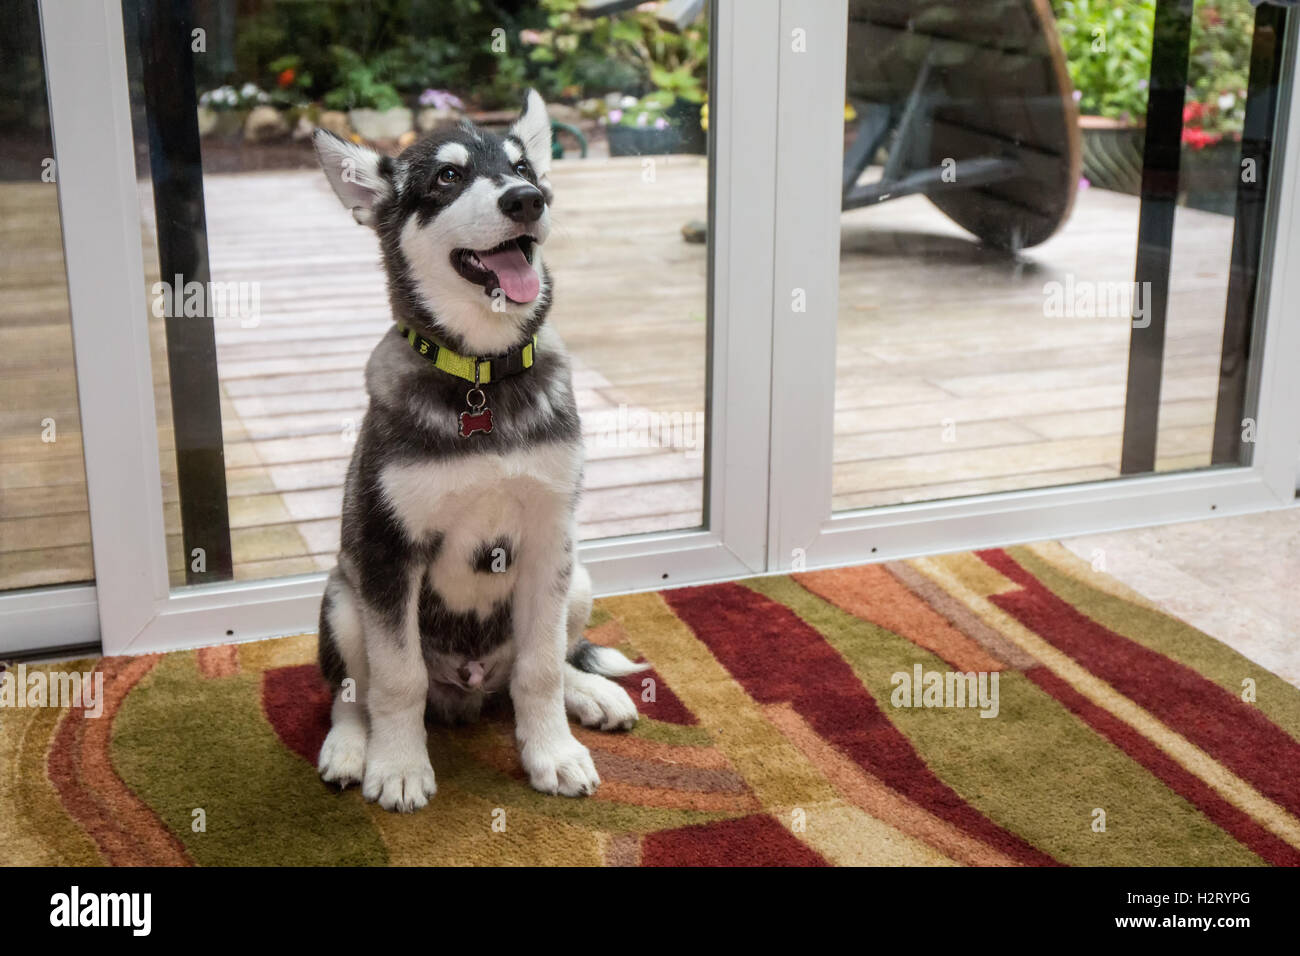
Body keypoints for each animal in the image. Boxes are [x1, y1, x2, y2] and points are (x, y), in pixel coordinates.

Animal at [310, 89, 644, 811]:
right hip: (344, 600)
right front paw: (398, 766)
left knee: (543, 665)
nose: (527, 200)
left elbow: (540, 669)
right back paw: (351, 747)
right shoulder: (386, 550)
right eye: (447, 176)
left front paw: (551, 753)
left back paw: (591, 693)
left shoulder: (549, 539)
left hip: (579, 576)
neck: (481, 377)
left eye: (523, 167)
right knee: (352, 692)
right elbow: (397, 679)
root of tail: (466, 691)